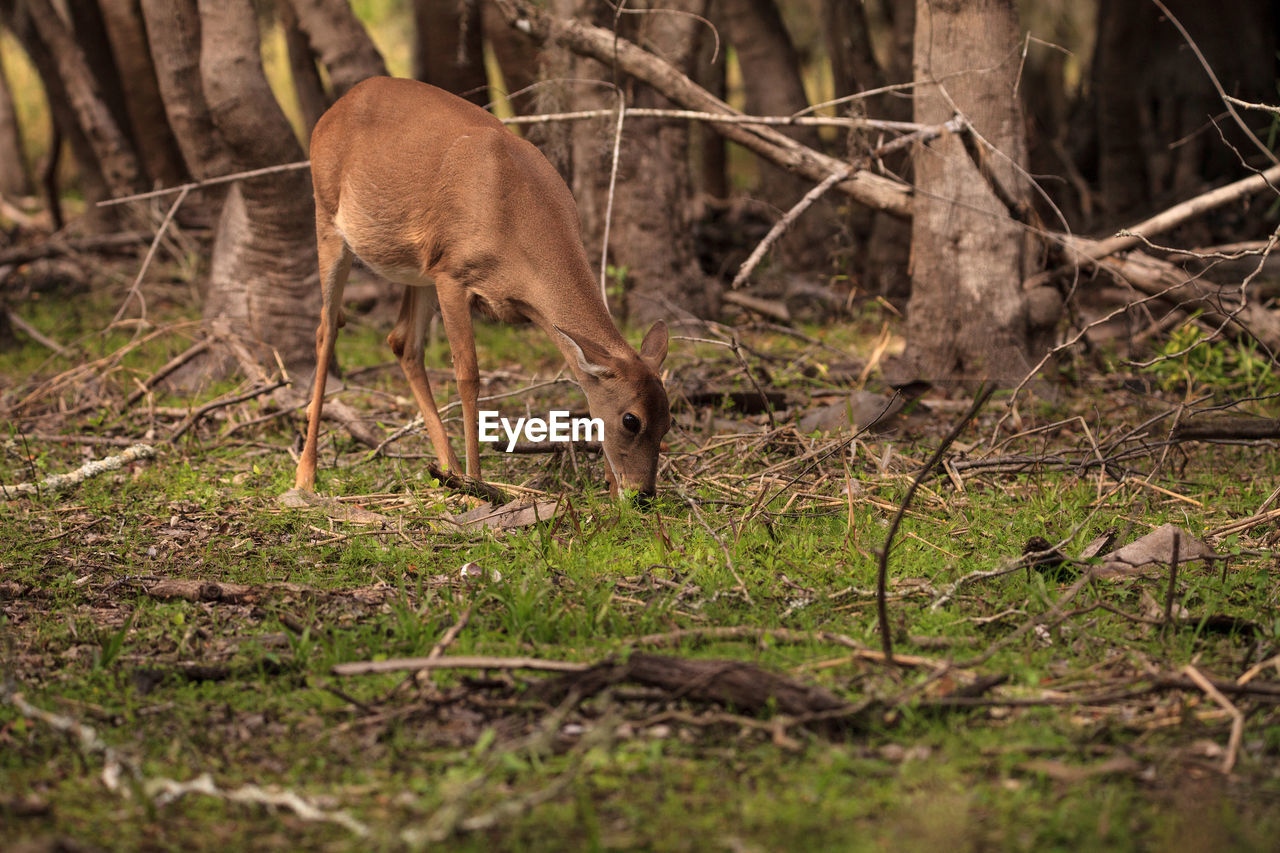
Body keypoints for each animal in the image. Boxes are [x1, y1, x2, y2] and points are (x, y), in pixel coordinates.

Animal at [295, 74, 675, 499]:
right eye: (631, 420)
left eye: (669, 421)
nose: (643, 493)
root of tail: (334, 108)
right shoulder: (453, 276)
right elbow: (469, 376)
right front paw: (477, 484)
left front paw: (608, 489)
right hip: (328, 218)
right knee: (327, 329)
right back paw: (306, 475)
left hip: (419, 266)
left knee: (402, 341)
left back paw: (447, 468)